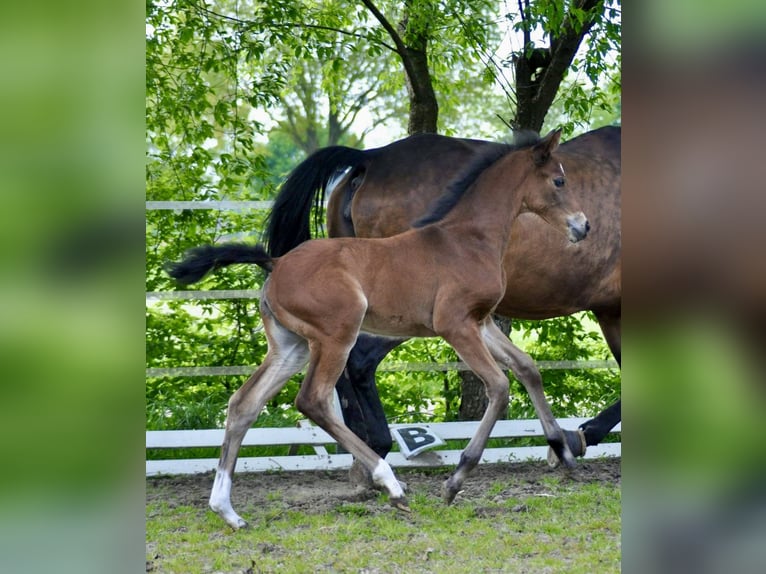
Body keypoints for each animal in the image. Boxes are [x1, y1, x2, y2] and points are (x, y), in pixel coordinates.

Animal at [168, 130, 588, 532]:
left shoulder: (481, 322)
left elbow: (527, 367)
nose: (583, 226)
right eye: (559, 180)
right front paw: (455, 480)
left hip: (292, 346)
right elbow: (499, 387)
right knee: (313, 400)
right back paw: (392, 484)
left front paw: (563, 451)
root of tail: (276, 262)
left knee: (244, 405)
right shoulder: (454, 324)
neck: (467, 238)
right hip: (337, 335)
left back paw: (228, 512)